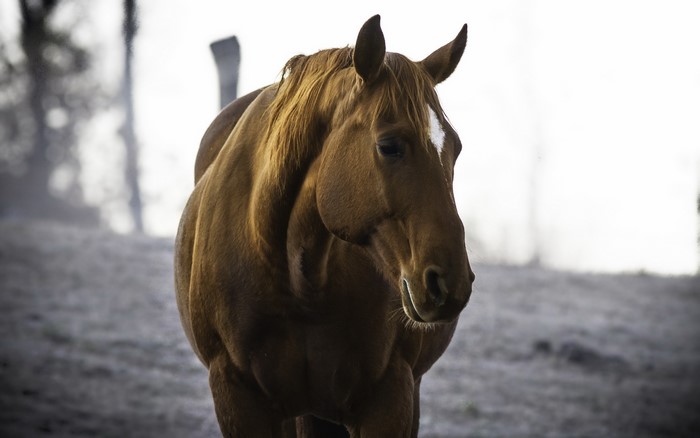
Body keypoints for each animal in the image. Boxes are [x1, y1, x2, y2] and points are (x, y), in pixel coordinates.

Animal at [174, 15, 474, 437]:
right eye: (389, 146)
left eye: (456, 149)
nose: (450, 283)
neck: (299, 280)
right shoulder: (237, 398)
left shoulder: (391, 398)